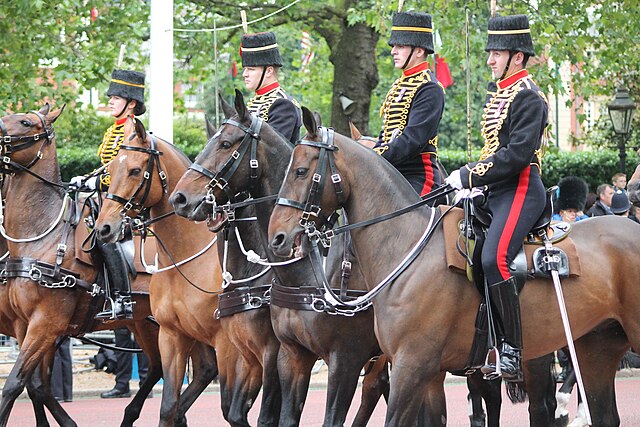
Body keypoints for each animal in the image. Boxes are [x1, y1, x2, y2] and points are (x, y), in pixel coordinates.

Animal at [0, 105, 216, 427]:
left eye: (25, 122)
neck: (41, 236)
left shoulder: (45, 324)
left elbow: (15, 383)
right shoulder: (25, 325)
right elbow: (36, 385)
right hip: (151, 323)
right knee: (185, 369)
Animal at [93, 116, 280, 427]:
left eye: (135, 170)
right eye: (111, 170)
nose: (103, 228)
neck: (184, 261)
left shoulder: (229, 345)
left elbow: (231, 406)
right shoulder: (172, 335)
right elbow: (169, 405)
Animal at [169, 92, 390, 426]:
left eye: (226, 143)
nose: (179, 198)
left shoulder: (328, 357)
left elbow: (267, 417)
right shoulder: (267, 355)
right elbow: (241, 412)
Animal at [266, 108, 636, 427]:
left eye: (300, 171)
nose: (277, 238)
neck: (404, 247)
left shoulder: (402, 365)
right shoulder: (423, 374)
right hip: (595, 348)